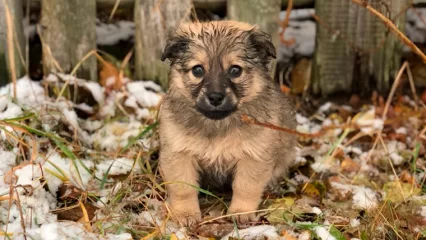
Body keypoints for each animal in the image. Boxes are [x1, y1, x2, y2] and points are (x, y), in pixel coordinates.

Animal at [159, 21, 296, 227]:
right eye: (197, 70)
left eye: (235, 70)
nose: (215, 97)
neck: (218, 125)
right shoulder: (179, 155)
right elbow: (184, 188)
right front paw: (185, 214)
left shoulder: (253, 157)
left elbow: (245, 187)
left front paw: (241, 212)